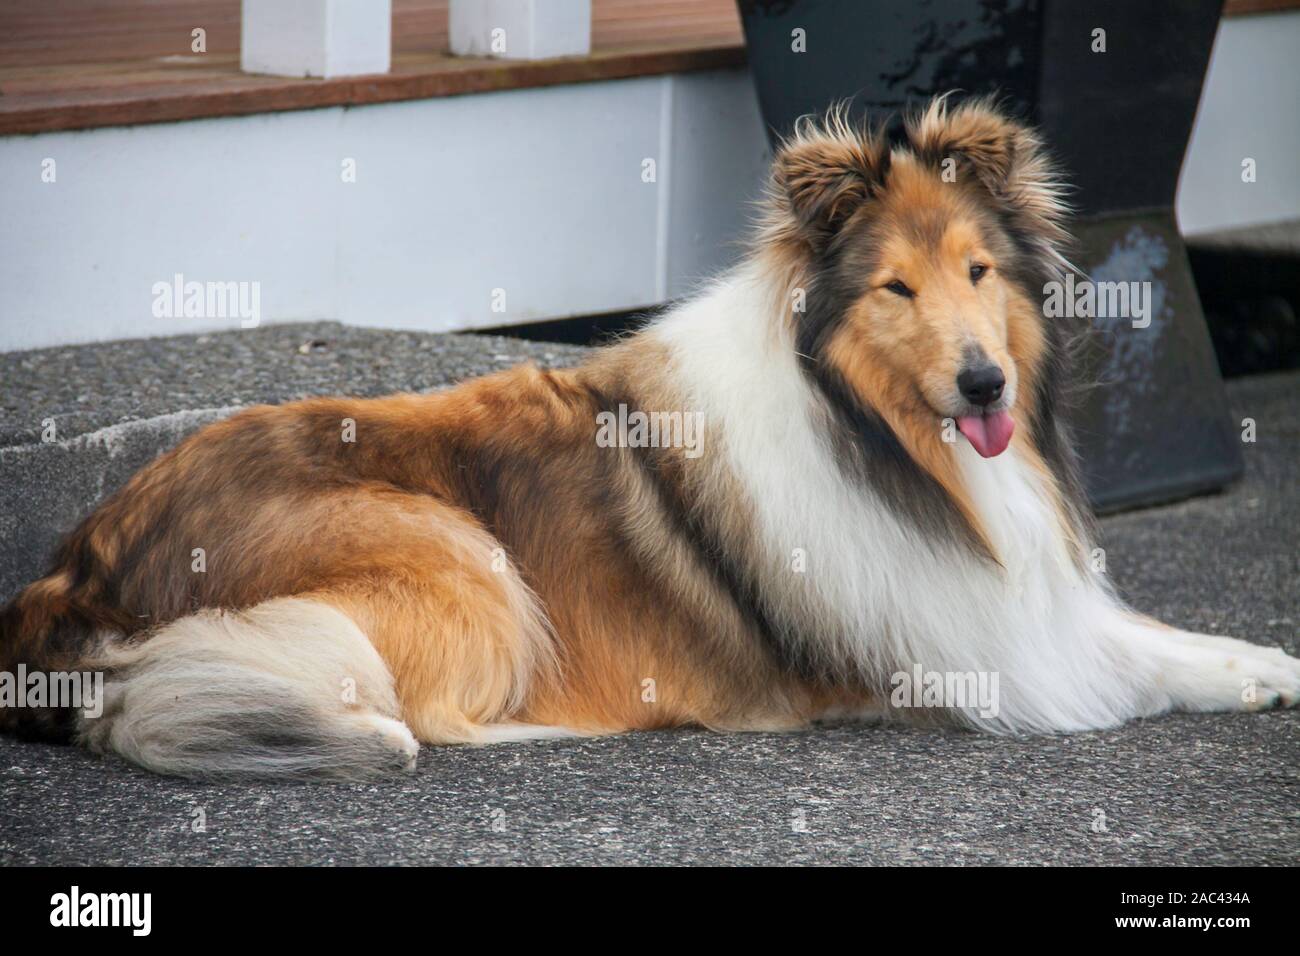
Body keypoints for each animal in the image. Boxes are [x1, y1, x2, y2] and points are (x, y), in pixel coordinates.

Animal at [2, 97, 1300, 780]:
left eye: (979, 271)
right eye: (896, 288)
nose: (984, 380)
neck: (878, 440)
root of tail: (73, 566)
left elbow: (1154, 634)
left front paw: (1263, 661)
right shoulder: (980, 651)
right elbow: (1120, 663)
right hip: (462, 560)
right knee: (401, 703)